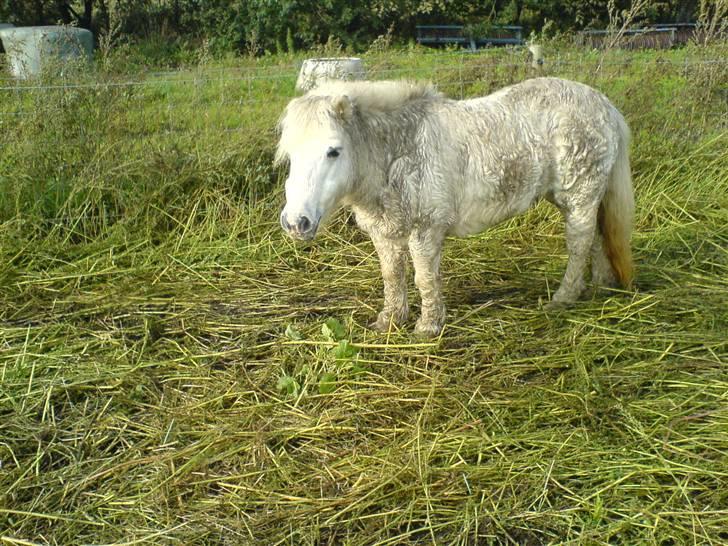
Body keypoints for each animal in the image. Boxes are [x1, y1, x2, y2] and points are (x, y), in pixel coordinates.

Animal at [276, 78, 636, 336]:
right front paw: (389, 321)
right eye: (290, 154)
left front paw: (428, 327)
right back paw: (600, 285)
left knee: (579, 245)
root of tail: (604, 105)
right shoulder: (385, 232)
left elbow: (424, 278)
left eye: (333, 151)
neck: (399, 151)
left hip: (579, 196)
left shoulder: (425, 230)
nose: (296, 223)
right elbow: (392, 276)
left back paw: (564, 298)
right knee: (597, 238)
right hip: (583, 197)